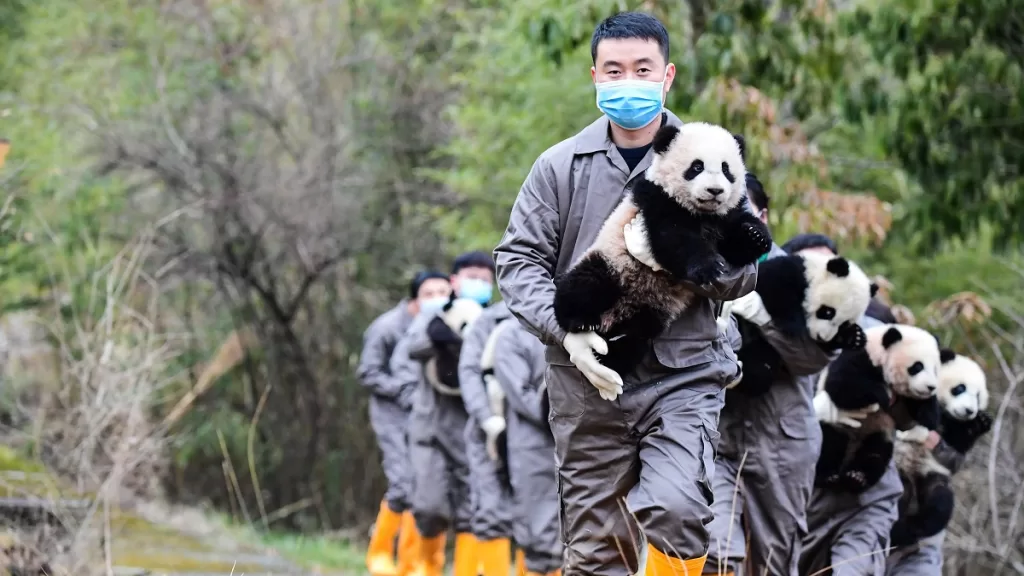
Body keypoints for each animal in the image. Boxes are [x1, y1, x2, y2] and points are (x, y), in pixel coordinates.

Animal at [552, 122, 772, 375]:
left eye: (726, 169)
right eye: (697, 166)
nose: (715, 191)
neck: (702, 214)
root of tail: (610, 318)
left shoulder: (724, 218)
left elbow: (736, 246)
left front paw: (756, 235)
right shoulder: (656, 201)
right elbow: (673, 239)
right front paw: (707, 267)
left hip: (652, 311)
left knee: (635, 339)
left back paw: (610, 357)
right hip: (612, 263)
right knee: (584, 284)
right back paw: (581, 322)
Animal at [728, 250, 876, 396]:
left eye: (844, 323)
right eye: (828, 312)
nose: (822, 337)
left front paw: (855, 337)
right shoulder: (790, 272)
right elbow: (773, 286)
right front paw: (793, 325)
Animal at [813, 324, 943, 493]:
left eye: (935, 370)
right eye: (918, 366)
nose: (931, 387)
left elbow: (915, 415)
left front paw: (929, 416)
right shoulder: (859, 357)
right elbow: (841, 385)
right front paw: (882, 395)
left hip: (879, 431)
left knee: (875, 454)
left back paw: (856, 478)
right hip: (837, 425)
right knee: (829, 444)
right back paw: (828, 477)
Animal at [889, 350, 992, 547]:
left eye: (977, 397)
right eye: (960, 388)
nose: (969, 411)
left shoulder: (952, 435)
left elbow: (957, 446)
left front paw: (981, 422)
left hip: (932, 476)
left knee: (939, 503)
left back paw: (908, 531)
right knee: (901, 491)